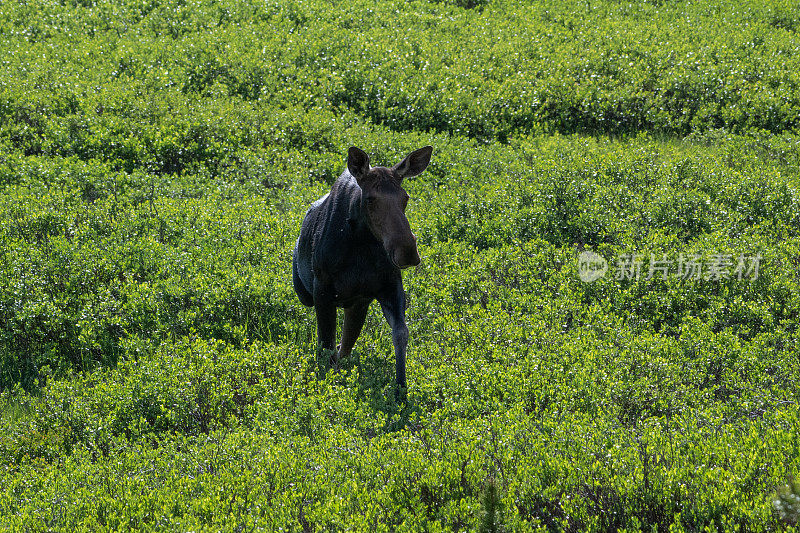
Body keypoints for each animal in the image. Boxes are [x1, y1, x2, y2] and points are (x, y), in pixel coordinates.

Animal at [292, 144, 434, 390]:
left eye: (405, 197)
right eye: (369, 199)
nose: (407, 251)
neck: (361, 243)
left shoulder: (387, 287)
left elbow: (400, 333)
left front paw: (401, 388)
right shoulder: (322, 289)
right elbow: (325, 344)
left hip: (357, 304)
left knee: (346, 345)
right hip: (306, 294)